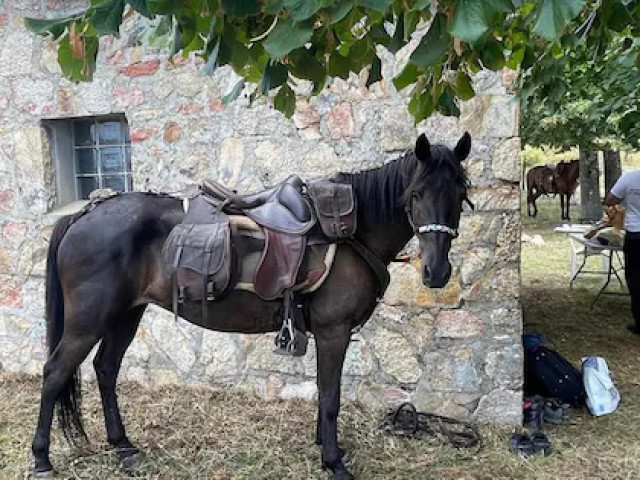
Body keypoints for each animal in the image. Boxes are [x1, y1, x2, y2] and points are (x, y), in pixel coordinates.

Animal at [30, 132, 472, 480]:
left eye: (460, 195)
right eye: (416, 194)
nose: (436, 272)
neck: (353, 232)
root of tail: (84, 215)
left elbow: (323, 392)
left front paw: (325, 448)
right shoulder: (334, 331)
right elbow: (331, 396)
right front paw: (334, 462)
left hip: (125, 314)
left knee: (106, 369)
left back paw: (123, 446)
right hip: (89, 320)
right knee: (55, 373)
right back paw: (41, 460)